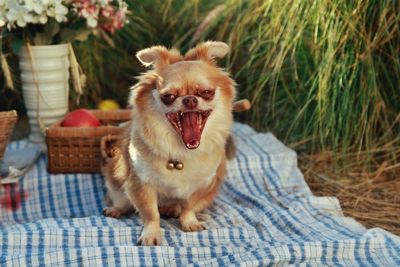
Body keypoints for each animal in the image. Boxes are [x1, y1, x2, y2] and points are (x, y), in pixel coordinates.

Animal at [102, 40, 241, 246]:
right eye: (168, 97)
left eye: (206, 92)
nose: (190, 99)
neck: (181, 151)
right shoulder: (140, 183)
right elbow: (151, 213)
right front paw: (151, 234)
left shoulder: (202, 185)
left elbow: (189, 206)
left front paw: (189, 222)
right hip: (115, 180)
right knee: (121, 200)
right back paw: (115, 210)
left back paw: (173, 209)